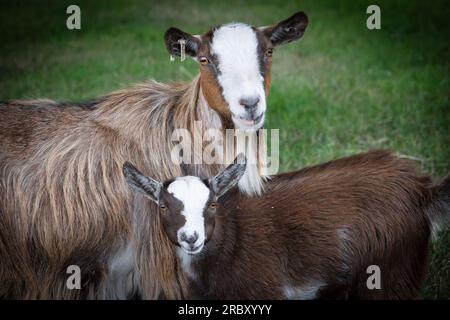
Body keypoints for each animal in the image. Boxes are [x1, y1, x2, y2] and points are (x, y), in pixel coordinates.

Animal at [123, 151, 450, 300]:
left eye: (212, 204)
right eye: (163, 206)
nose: (191, 238)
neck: (231, 238)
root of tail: (423, 191)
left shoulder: (266, 291)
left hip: (391, 270)